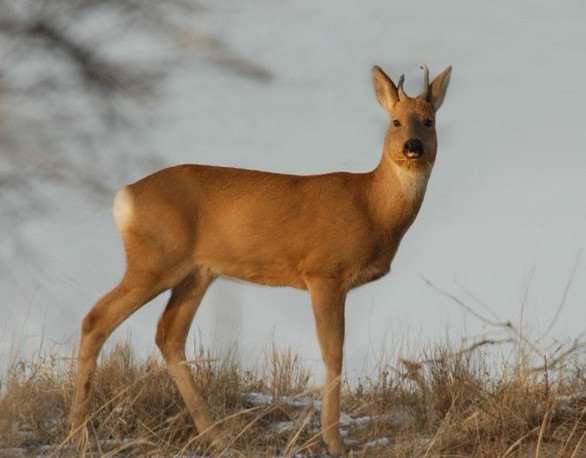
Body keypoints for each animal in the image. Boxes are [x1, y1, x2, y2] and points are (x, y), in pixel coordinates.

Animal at [69, 63, 452, 454]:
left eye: (429, 120)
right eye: (395, 121)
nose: (413, 146)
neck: (372, 207)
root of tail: (123, 198)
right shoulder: (324, 271)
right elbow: (333, 353)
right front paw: (334, 442)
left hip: (197, 272)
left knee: (169, 334)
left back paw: (217, 435)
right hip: (155, 259)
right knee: (97, 319)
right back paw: (78, 432)